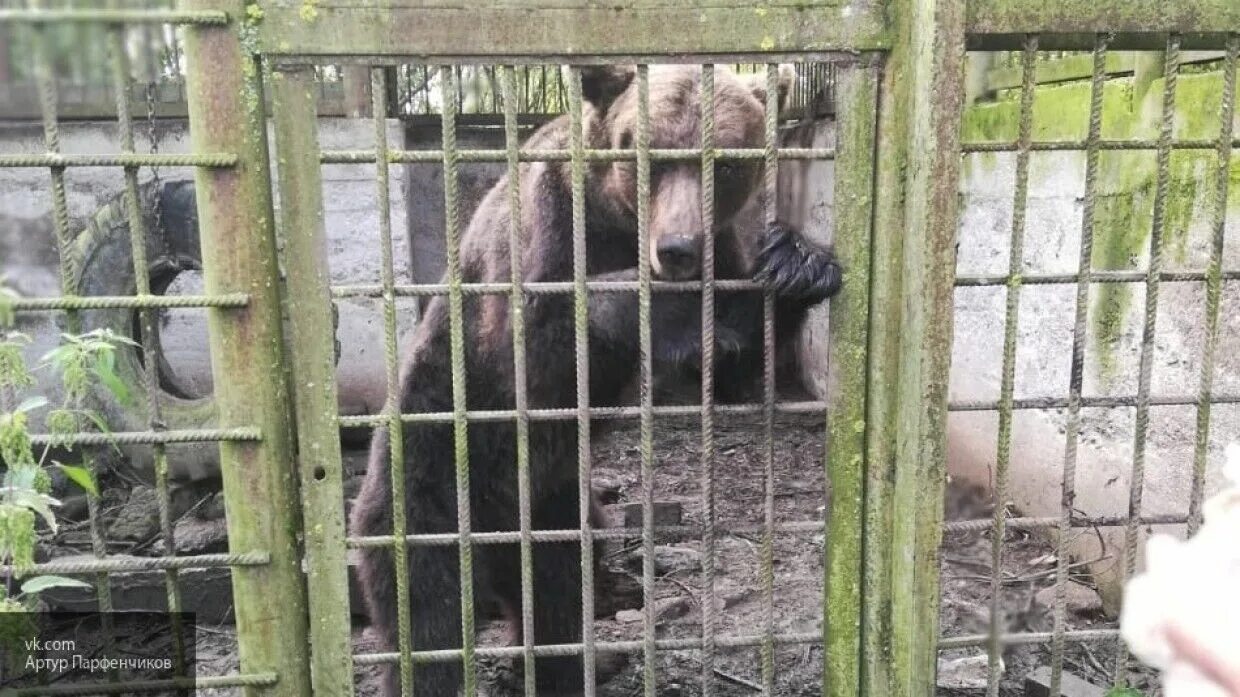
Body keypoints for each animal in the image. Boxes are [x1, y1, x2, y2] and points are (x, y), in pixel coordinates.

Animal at [352, 65, 843, 694]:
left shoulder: (725, 246)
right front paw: (667, 306)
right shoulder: (544, 235)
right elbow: (534, 349)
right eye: (644, 152)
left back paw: (570, 664)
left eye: (728, 163)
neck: (615, 223)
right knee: (427, 607)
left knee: (558, 590)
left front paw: (797, 263)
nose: (678, 249)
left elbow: (734, 363)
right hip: (430, 469)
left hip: (557, 508)